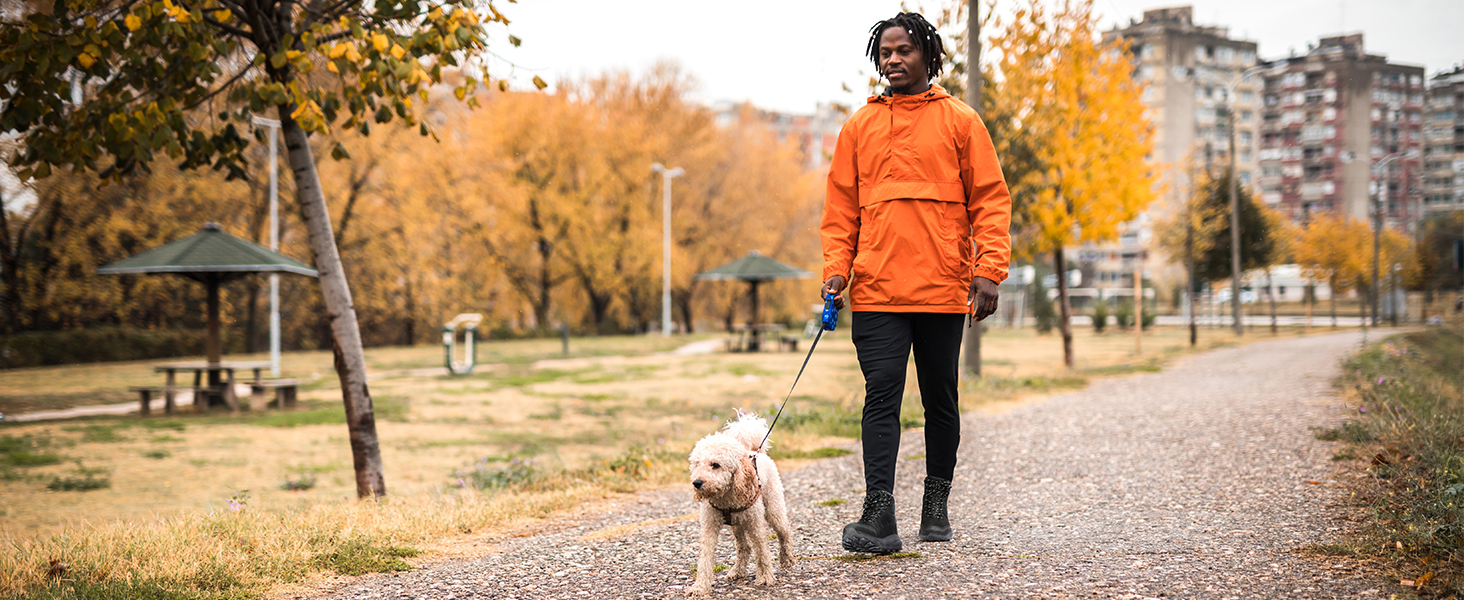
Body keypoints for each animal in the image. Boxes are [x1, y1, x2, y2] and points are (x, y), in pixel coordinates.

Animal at [682, 412, 790, 594]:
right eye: (696, 464)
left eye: (715, 465)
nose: (697, 483)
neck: (726, 497)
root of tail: (756, 451)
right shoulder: (709, 525)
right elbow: (705, 559)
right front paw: (700, 587)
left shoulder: (755, 523)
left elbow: (762, 551)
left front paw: (765, 577)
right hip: (737, 524)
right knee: (744, 547)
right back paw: (737, 571)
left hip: (773, 509)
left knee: (784, 532)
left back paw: (787, 558)